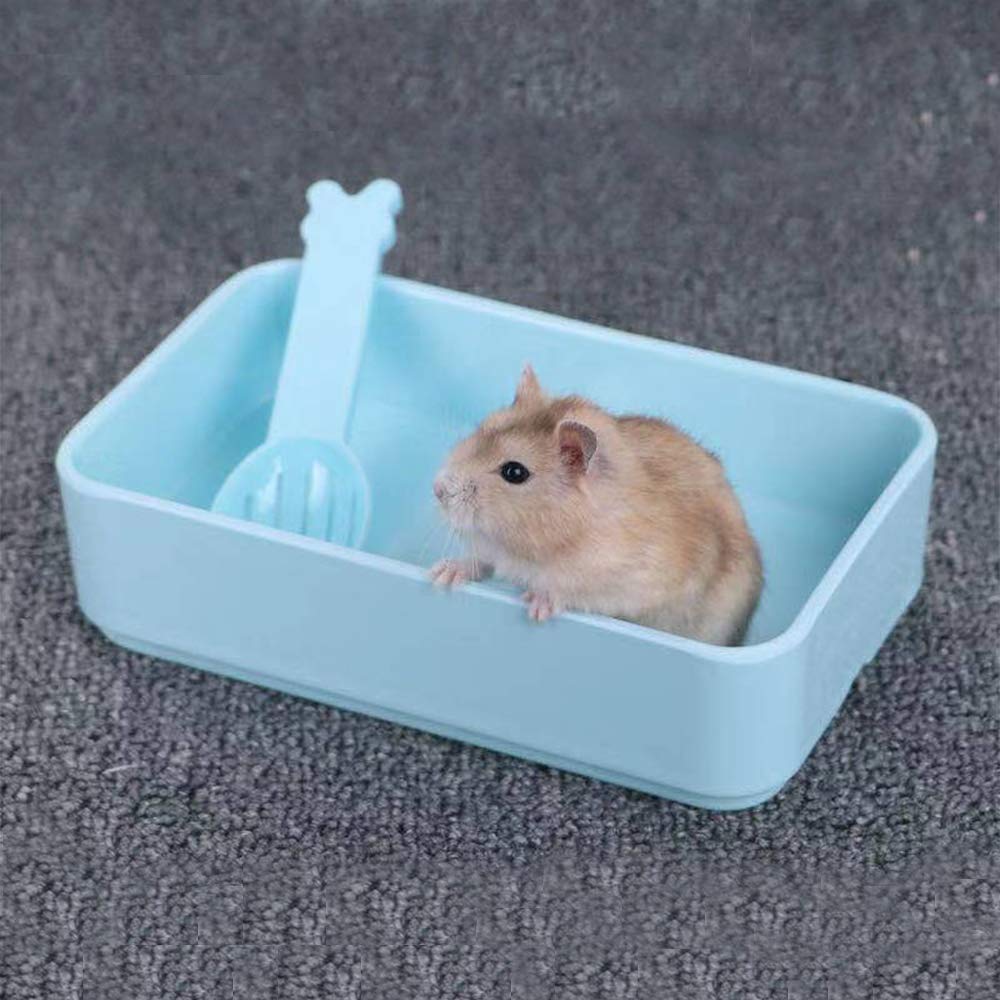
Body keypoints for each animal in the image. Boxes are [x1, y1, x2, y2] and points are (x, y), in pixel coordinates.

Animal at [429, 365, 763, 646]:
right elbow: (482, 559)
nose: (437, 489)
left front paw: (538, 607)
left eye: (514, 472)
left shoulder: (634, 582)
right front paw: (442, 574)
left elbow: (575, 591)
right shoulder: (495, 549)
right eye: (483, 426)